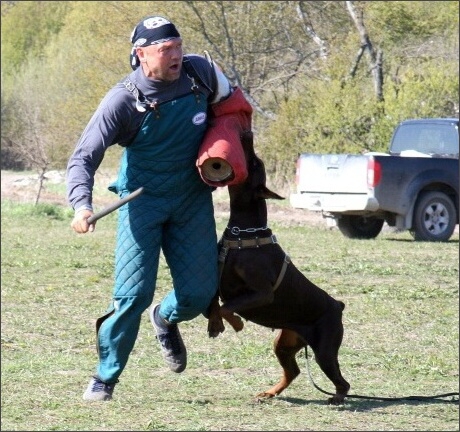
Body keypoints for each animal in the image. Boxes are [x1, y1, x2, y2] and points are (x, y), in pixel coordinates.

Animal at [207, 131, 350, 404]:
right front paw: (214, 324)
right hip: (285, 341)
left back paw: (337, 398)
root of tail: (338, 305)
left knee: (342, 380)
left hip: (325, 348)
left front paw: (237, 323)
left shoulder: (263, 293)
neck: (244, 235)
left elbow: (227, 307)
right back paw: (269, 392)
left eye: (254, 164)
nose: (247, 133)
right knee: (293, 370)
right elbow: (214, 304)